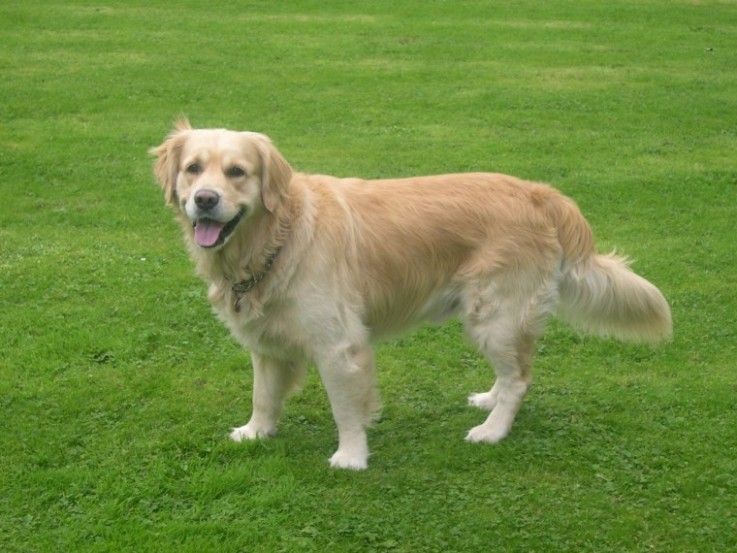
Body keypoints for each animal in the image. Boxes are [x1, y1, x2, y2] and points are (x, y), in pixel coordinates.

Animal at [151, 121, 672, 470]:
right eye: (193, 169)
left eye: (237, 172)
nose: (205, 200)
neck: (278, 237)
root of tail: (541, 193)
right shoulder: (265, 343)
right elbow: (263, 394)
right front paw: (256, 432)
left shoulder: (339, 346)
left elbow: (346, 409)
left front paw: (351, 456)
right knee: (512, 372)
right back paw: (489, 399)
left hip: (494, 313)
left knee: (521, 378)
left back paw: (492, 430)